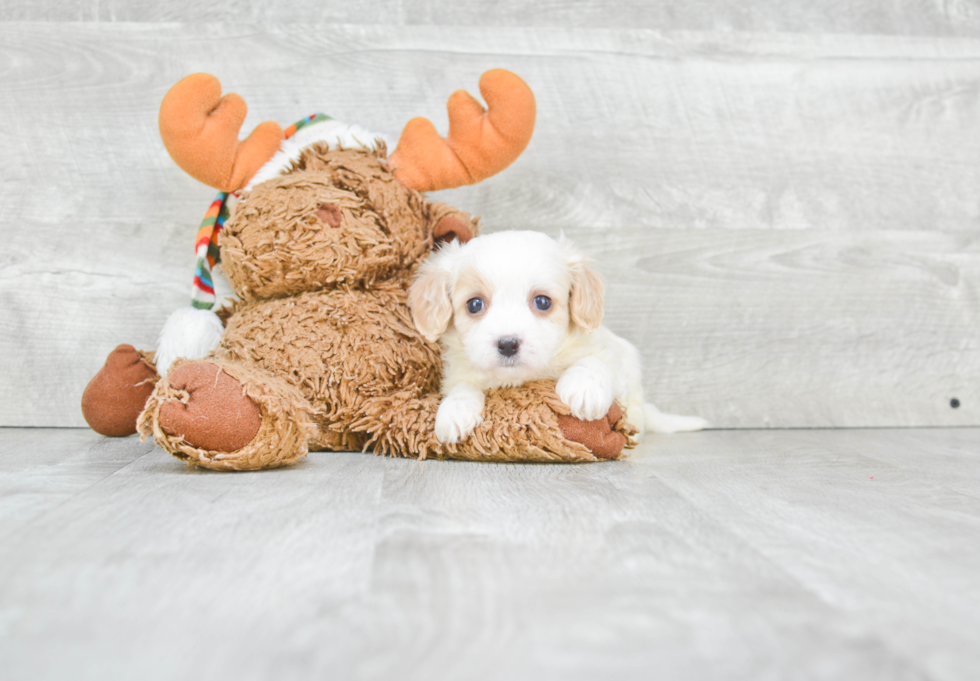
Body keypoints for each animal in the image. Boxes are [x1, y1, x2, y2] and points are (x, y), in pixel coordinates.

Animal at [404, 231, 704, 444]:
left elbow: (595, 360)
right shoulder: (458, 373)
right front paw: (455, 412)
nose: (508, 344)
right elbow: (462, 386)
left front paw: (583, 390)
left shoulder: (610, 356)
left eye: (542, 302)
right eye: (474, 304)